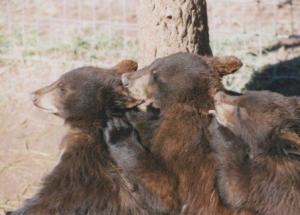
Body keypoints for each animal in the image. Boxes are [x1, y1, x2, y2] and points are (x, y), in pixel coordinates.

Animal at [103, 53, 253, 214]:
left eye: (155, 76)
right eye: (153, 64)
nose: (125, 79)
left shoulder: (185, 141)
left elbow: (167, 192)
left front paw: (118, 131)